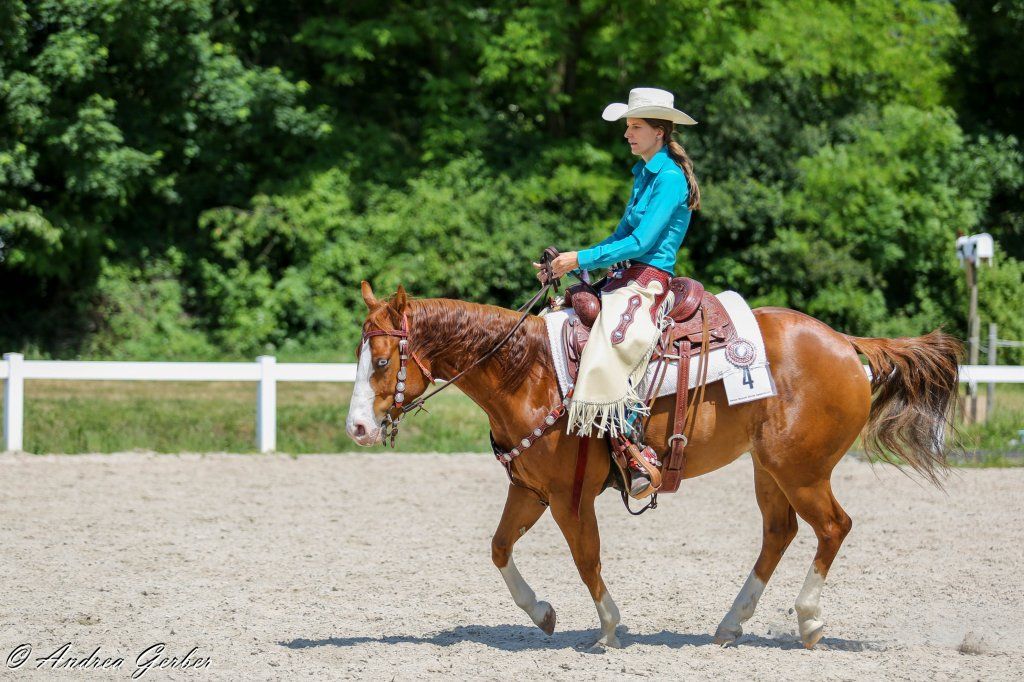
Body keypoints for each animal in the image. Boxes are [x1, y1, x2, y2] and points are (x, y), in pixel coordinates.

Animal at [346, 281, 961, 649]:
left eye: (381, 361)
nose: (356, 429)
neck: (530, 372)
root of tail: (845, 343)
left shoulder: (570, 497)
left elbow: (587, 559)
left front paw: (609, 629)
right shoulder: (531, 490)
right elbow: (499, 547)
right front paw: (542, 613)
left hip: (801, 470)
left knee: (832, 527)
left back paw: (808, 621)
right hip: (770, 469)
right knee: (779, 533)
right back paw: (730, 625)